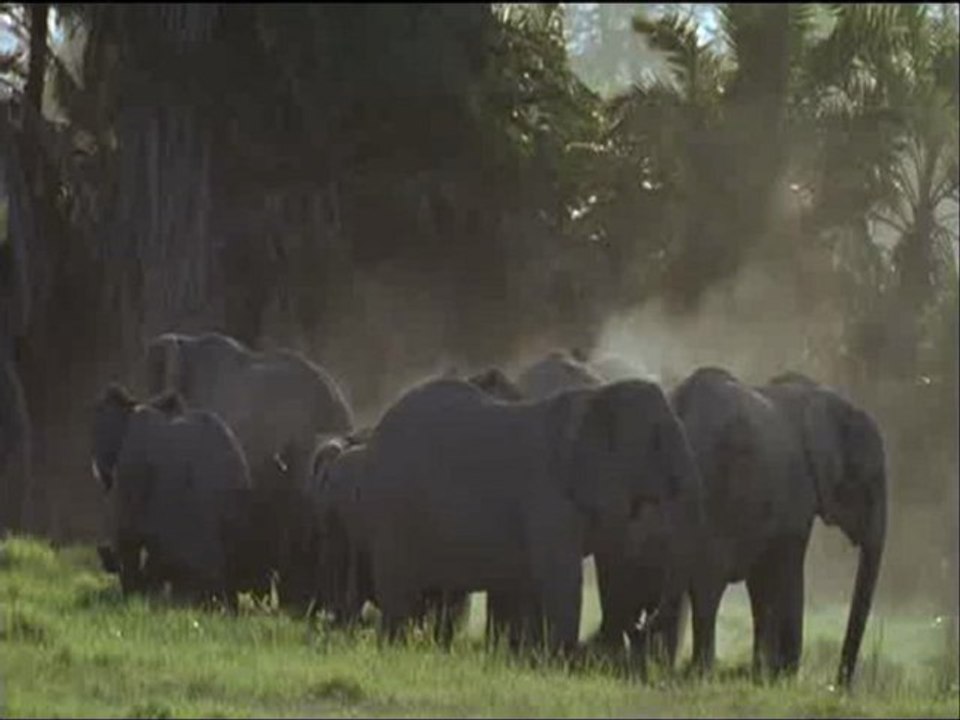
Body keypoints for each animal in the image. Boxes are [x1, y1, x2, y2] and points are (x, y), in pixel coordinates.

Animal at [345, 375, 700, 656]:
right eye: (655, 439)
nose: (642, 624)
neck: (595, 397)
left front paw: (528, 659)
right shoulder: (547, 498)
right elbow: (562, 578)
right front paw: (559, 662)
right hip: (391, 512)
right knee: (399, 590)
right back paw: (395, 648)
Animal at [656, 366, 887, 687]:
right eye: (871, 480)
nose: (838, 687)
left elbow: (761, 584)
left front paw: (761, 676)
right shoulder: (797, 497)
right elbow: (787, 572)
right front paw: (783, 678)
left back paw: (660, 669)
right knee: (707, 586)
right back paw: (698, 673)